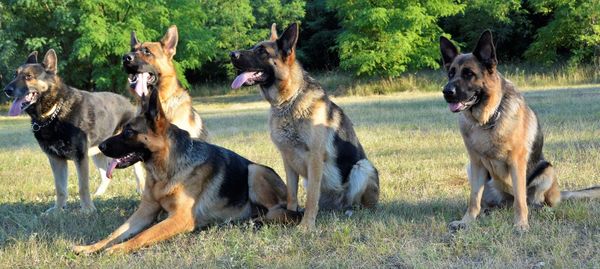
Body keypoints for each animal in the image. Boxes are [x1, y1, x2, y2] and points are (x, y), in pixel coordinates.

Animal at [3, 50, 145, 213]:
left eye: (28, 76)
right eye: (15, 75)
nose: (6, 90)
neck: (54, 112)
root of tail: (129, 102)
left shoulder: (80, 157)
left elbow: (83, 187)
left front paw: (88, 210)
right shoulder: (56, 160)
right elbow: (60, 188)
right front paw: (58, 210)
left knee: (138, 173)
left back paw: (141, 192)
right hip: (98, 154)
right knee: (106, 176)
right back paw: (99, 195)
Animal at [73, 80, 300, 252]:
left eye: (129, 132)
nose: (100, 146)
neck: (165, 170)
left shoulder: (181, 217)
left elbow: (142, 236)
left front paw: (117, 249)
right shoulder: (145, 211)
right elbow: (116, 233)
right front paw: (91, 247)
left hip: (255, 171)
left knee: (281, 212)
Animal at [230, 23, 380, 228]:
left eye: (262, 51)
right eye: (254, 47)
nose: (231, 54)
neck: (287, 103)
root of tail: (336, 204)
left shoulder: (314, 158)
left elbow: (311, 199)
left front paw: (306, 226)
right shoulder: (288, 160)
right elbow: (292, 195)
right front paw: (291, 215)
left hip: (362, 167)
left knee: (358, 203)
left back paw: (352, 210)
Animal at [440, 29, 600, 230]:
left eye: (469, 73)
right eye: (450, 73)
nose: (446, 92)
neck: (489, 119)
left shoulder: (517, 163)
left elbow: (520, 201)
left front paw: (521, 224)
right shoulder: (476, 163)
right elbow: (473, 199)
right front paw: (466, 221)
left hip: (547, 169)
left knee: (534, 201)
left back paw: (542, 210)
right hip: (475, 173)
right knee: (495, 202)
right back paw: (489, 211)